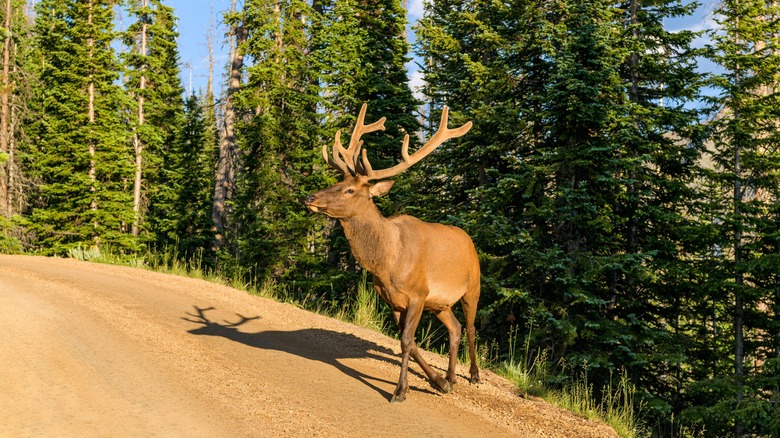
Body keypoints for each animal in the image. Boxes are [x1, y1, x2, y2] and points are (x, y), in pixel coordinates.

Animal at [306, 103, 482, 404]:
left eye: (349, 189)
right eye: (337, 181)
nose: (310, 198)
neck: (387, 261)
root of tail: (468, 239)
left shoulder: (418, 294)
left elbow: (407, 341)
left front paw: (399, 391)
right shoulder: (393, 300)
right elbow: (408, 342)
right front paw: (436, 382)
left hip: (472, 288)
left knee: (470, 328)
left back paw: (473, 374)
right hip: (440, 304)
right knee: (455, 328)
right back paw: (450, 377)